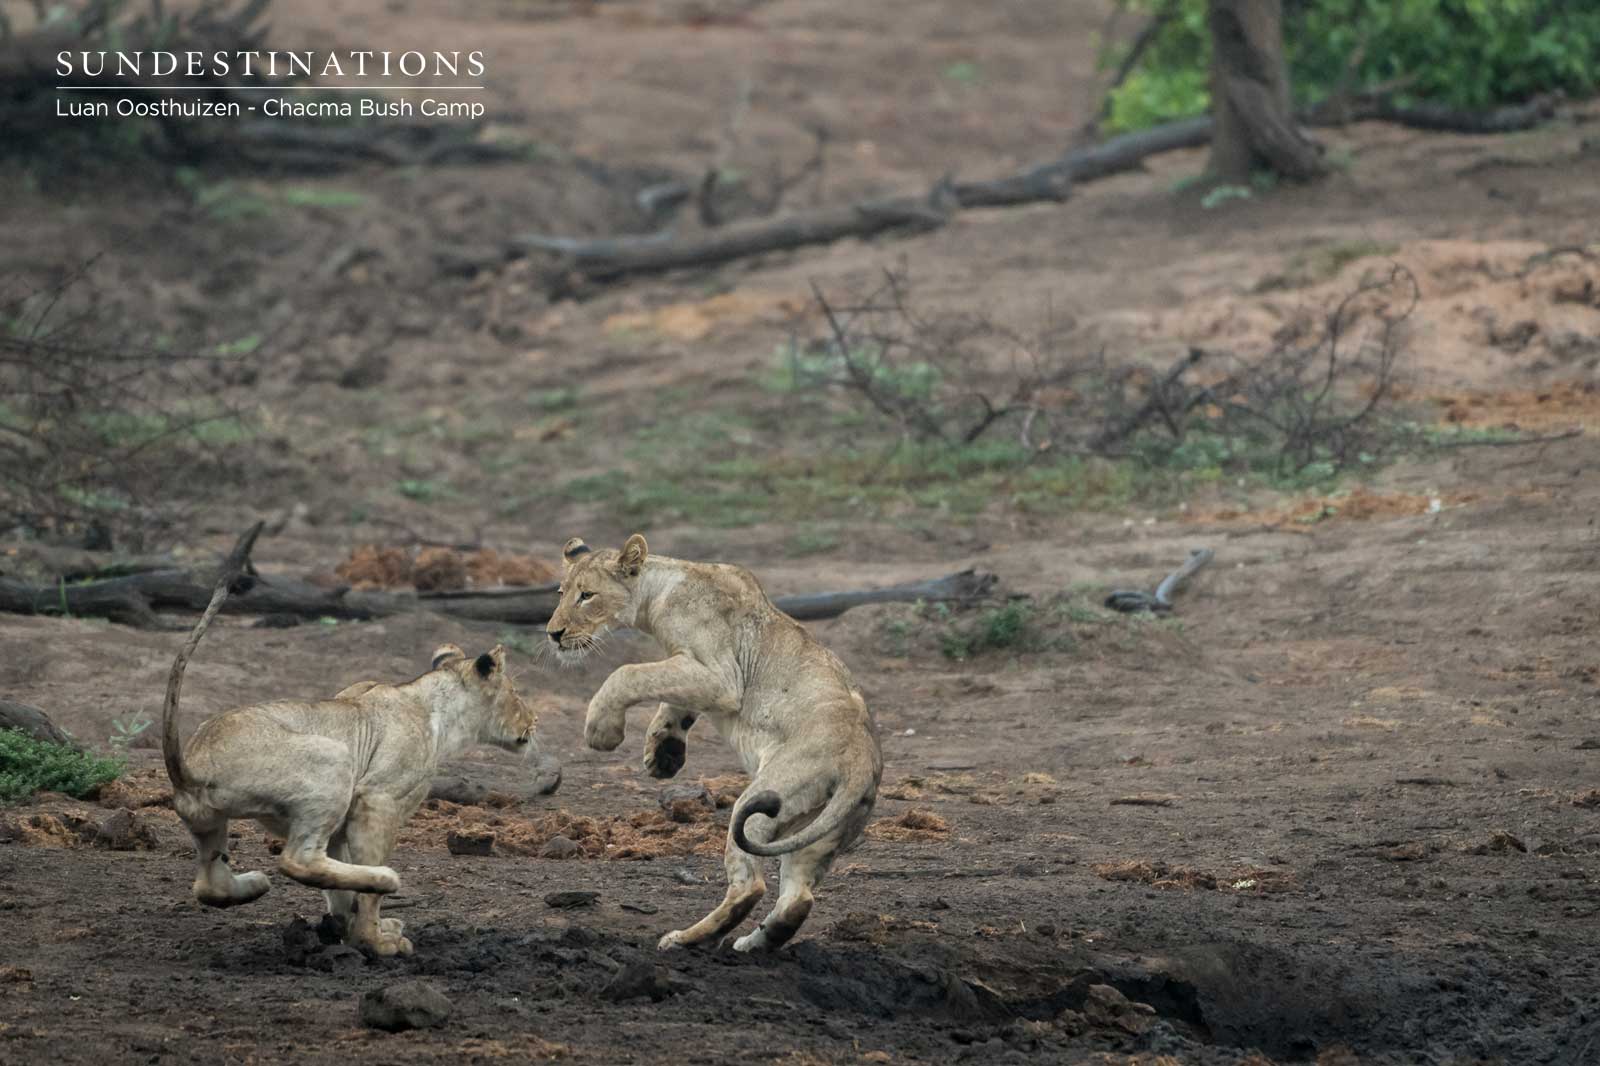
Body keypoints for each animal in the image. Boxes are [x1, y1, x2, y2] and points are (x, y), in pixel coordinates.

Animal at [160, 542, 539, 957]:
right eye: (516, 692)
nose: (534, 720)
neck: (435, 703)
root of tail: (188, 767)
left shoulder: (346, 821)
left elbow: (341, 888)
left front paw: (347, 927)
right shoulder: (377, 799)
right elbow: (363, 886)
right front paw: (374, 940)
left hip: (208, 821)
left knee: (209, 884)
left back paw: (253, 884)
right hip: (333, 758)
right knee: (298, 860)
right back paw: (383, 878)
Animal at [547, 533, 882, 952]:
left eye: (587, 595)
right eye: (561, 592)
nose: (553, 634)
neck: (659, 592)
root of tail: (861, 763)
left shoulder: (721, 678)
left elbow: (629, 673)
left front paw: (602, 731)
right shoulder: (692, 669)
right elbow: (670, 698)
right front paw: (664, 755)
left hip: (768, 798)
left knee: (750, 885)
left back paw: (684, 940)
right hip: (821, 831)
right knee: (798, 899)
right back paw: (753, 945)